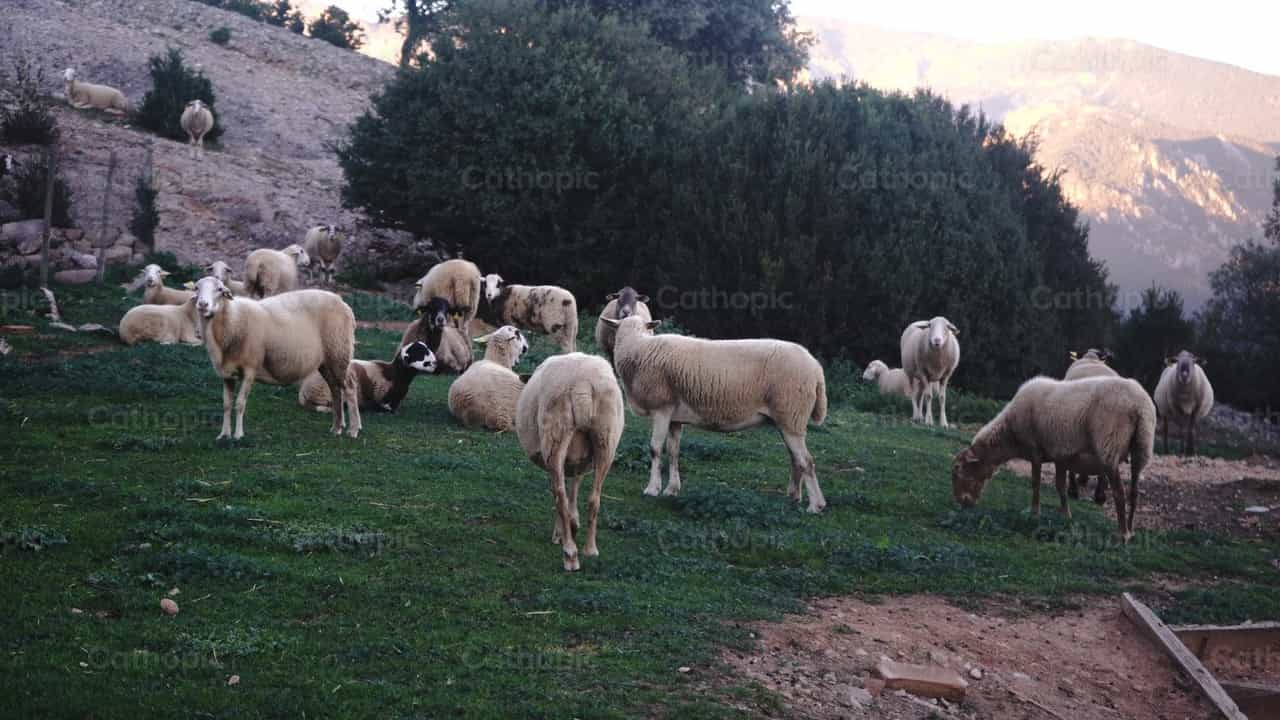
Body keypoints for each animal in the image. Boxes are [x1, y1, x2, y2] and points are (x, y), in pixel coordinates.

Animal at [191, 277, 361, 439]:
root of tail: (343, 304)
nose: (203, 304)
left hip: (339, 352)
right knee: (335, 389)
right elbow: (226, 404)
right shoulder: (227, 374)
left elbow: (239, 404)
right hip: (327, 361)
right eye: (196, 288)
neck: (232, 319)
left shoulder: (250, 369)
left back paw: (353, 430)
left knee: (350, 388)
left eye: (219, 289)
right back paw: (336, 428)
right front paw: (224, 434)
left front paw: (238, 435)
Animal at [299, 341, 437, 413]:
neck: (395, 374)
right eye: (422, 357)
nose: (436, 364)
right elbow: (383, 406)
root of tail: (304, 393)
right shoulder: (382, 396)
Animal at [515, 352, 624, 572]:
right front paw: (574, 525)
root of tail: (582, 384)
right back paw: (590, 549)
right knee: (594, 498)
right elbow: (575, 487)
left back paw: (570, 555)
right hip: (606, 437)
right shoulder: (578, 463)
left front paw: (560, 534)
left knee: (560, 497)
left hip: (554, 436)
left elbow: (559, 493)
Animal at [603, 315, 829, 512]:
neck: (638, 347)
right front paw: (671, 489)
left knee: (807, 461)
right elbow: (674, 452)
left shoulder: (662, 408)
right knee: (795, 459)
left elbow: (655, 449)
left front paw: (652, 489)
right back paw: (794, 496)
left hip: (791, 414)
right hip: (787, 418)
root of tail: (816, 369)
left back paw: (816, 506)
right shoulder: (675, 416)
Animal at [952, 375, 1156, 543]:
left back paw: (1123, 534)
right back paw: (1131, 529)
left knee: (1119, 493)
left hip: (1110, 445)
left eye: (958, 470)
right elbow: (1060, 487)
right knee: (1134, 492)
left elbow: (1035, 483)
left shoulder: (1035, 449)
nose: (961, 503)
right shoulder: (1061, 457)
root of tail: (1140, 405)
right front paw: (1065, 515)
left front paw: (1034, 513)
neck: (1010, 436)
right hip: (1142, 447)